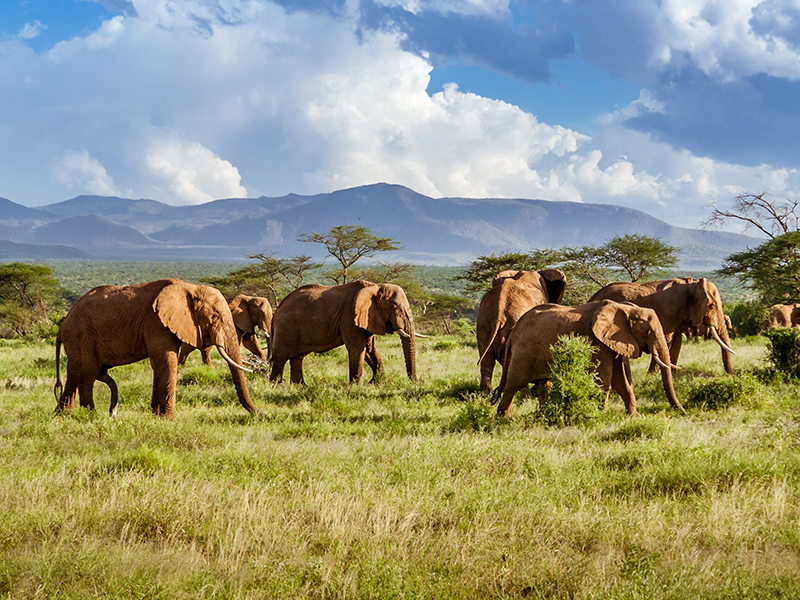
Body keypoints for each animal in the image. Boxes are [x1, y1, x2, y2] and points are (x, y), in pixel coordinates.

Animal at [54, 280, 260, 418]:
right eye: (215, 318)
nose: (260, 413)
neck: (189, 287)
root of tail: (62, 326)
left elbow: (159, 365)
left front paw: (156, 416)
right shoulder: (157, 322)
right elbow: (166, 363)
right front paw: (169, 419)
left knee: (74, 373)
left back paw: (62, 414)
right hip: (81, 336)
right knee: (88, 374)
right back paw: (90, 416)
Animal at [270, 282, 422, 384]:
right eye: (395, 306)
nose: (415, 382)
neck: (375, 287)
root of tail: (277, 309)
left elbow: (370, 349)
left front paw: (375, 383)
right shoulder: (350, 317)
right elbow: (358, 348)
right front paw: (355, 387)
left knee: (297, 358)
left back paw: (300, 387)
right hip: (286, 328)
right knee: (280, 357)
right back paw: (277, 387)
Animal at [592, 278, 736, 376]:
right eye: (712, 306)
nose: (731, 374)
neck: (693, 284)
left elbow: (677, 342)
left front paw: (673, 374)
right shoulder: (669, 312)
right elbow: (667, 341)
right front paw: (652, 375)